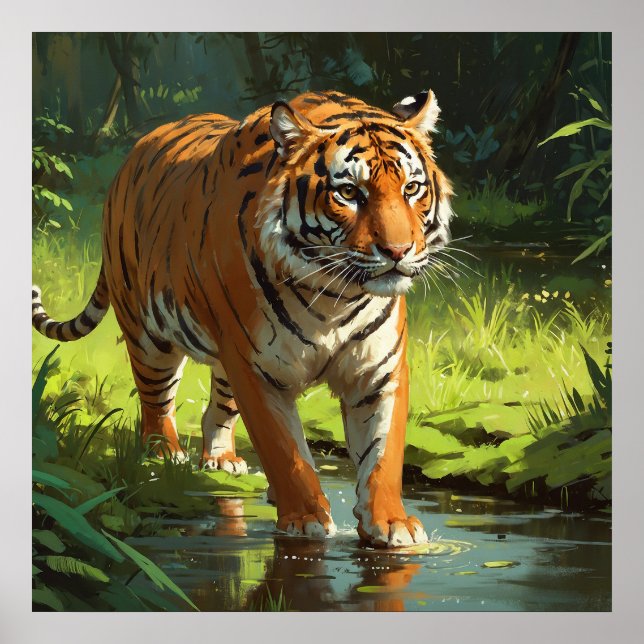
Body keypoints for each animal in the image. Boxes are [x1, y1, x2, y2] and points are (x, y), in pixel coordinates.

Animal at [32, 89, 454, 548]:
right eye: (348, 192)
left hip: (224, 355)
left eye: (411, 188)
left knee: (216, 408)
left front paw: (392, 524)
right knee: (156, 402)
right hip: (150, 339)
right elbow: (286, 451)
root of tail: (132, 156)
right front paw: (305, 520)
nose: (398, 251)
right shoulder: (258, 371)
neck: (334, 297)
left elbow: (383, 453)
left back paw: (223, 461)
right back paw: (164, 455)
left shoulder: (378, 372)